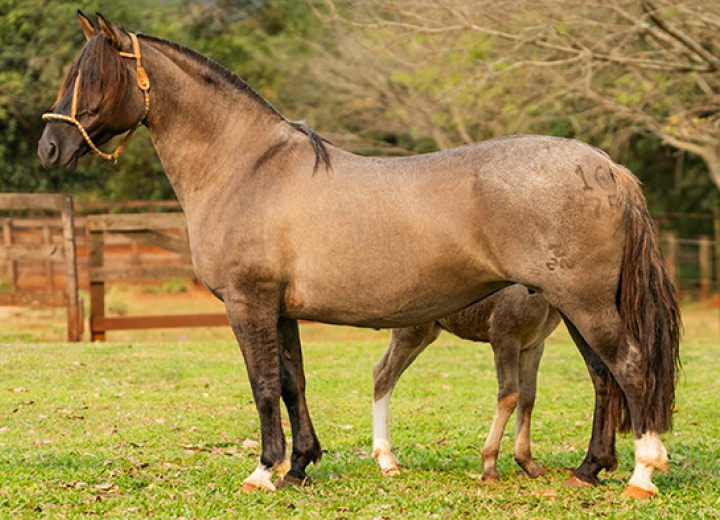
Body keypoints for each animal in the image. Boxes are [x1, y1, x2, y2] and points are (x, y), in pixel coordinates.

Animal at [372, 284, 564, 484]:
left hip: (426, 331)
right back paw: (386, 460)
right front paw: (489, 467)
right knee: (384, 375)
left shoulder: (534, 345)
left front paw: (528, 464)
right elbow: (509, 396)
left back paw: (392, 458)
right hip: (411, 331)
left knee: (385, 373)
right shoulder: (504, 336)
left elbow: (527, 399)